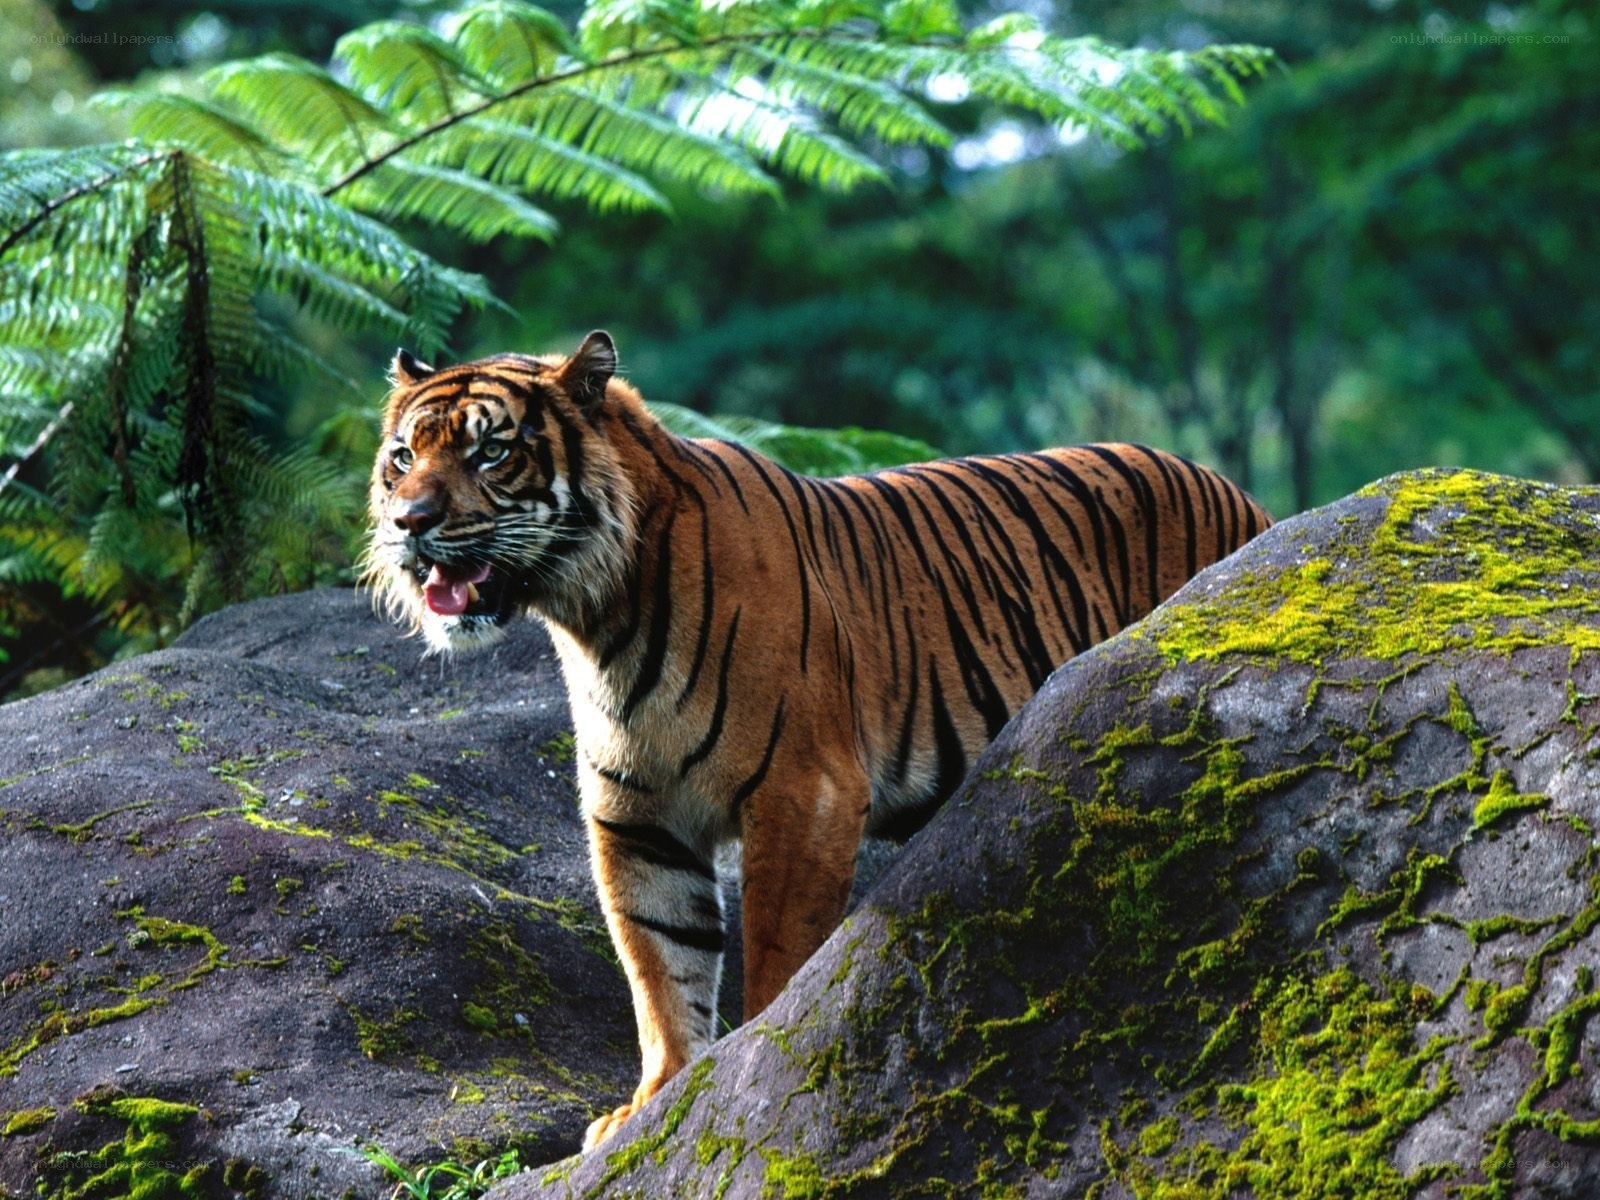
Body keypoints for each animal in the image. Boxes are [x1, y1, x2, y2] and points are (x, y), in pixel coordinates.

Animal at [366, 331, 1271, 1150]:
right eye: (403, 457)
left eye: (490, 453)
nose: (410, 522)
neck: (599, 618)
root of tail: (1246, 498)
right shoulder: (638, 819)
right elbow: (659, 965)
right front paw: (654, 1101)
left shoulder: (804, 792)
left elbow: (775, 951)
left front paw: (744, 1071)